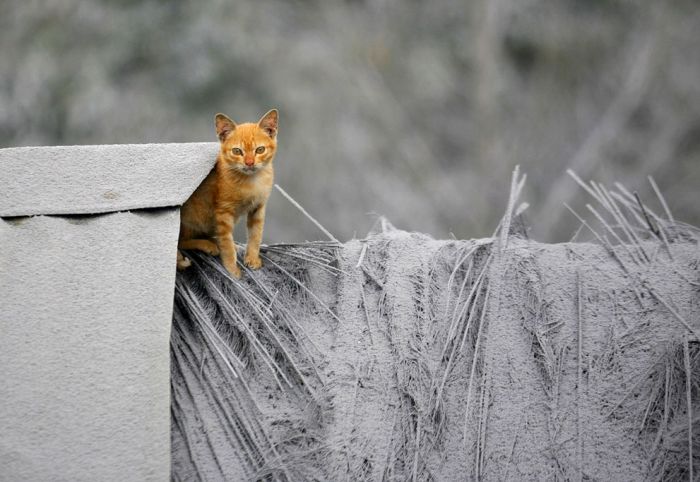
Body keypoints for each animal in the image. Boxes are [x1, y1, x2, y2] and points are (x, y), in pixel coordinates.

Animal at [178, 108, 278, 276]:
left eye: (260, 150)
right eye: (237, 151)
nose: (249, 163)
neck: (250, 181)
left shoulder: (258, 208)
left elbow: (255, 235)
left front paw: (252, 258)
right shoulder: (223, 212)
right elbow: (227, 243)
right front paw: (232, 270)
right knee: (180, 242)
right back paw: (207, 245)